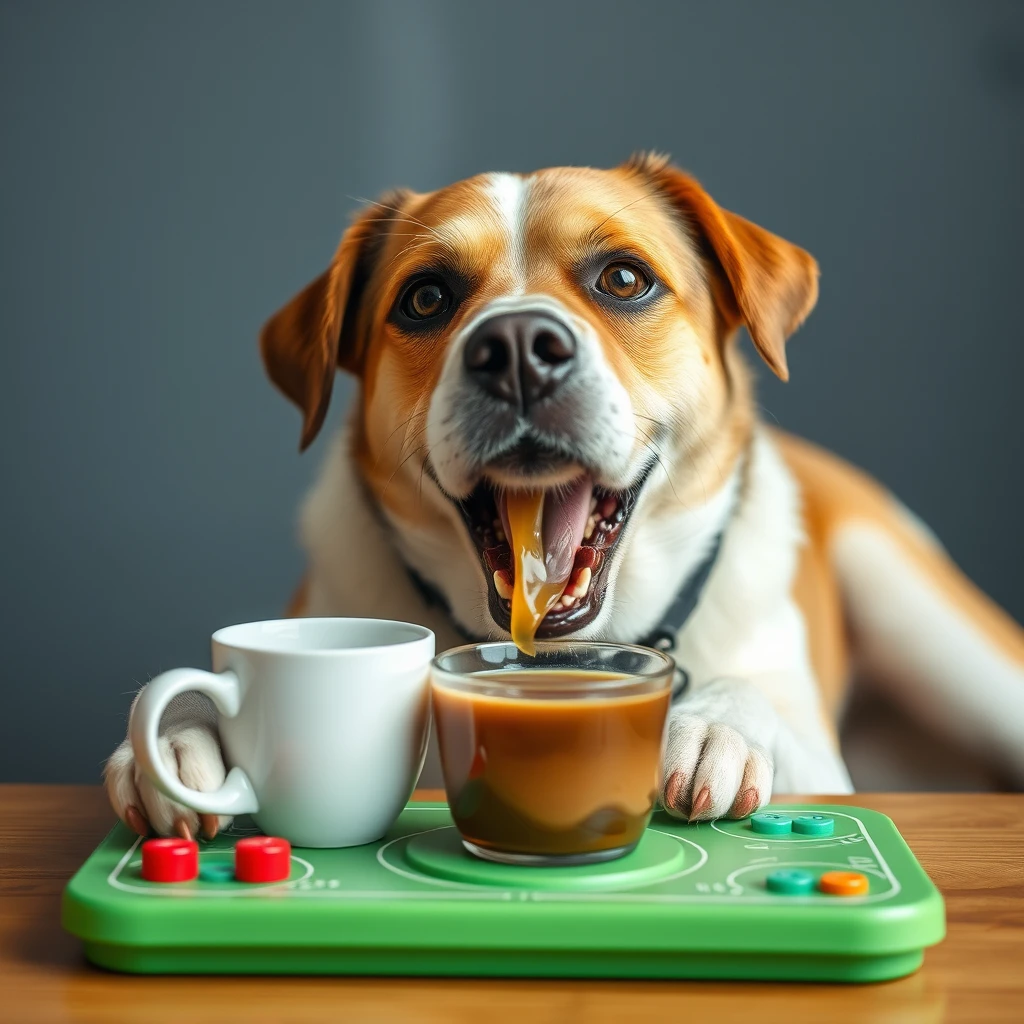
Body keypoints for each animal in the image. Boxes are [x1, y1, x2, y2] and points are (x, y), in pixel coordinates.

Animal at [105, 153, 1024, 839]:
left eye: (623, 279)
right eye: (426, 296)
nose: (516, 346)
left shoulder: (826, 756)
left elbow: (758, 703)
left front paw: (718, 725)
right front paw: (181, 739)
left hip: (937, 633)